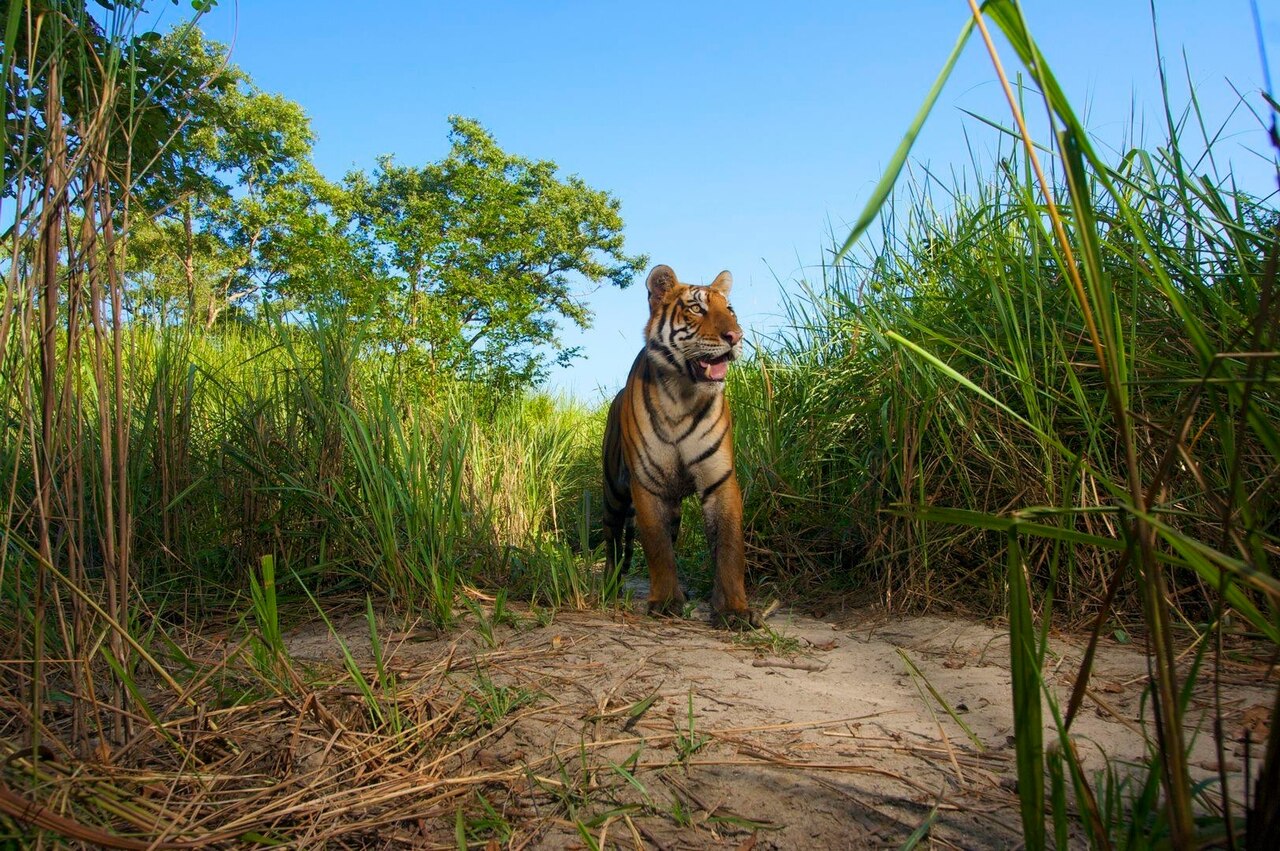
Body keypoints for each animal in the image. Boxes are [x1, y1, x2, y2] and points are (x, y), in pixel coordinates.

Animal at [601, 264, 761, 629]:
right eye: (697, 308)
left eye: (729, 309)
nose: (735, 336)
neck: (682, 395)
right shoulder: (646, 484)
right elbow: (657, 548)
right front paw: (664, 601)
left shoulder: (720, 480)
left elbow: (729, 548)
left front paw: (733, 609)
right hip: (614, 491)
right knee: (614, 537)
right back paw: (610, 586)